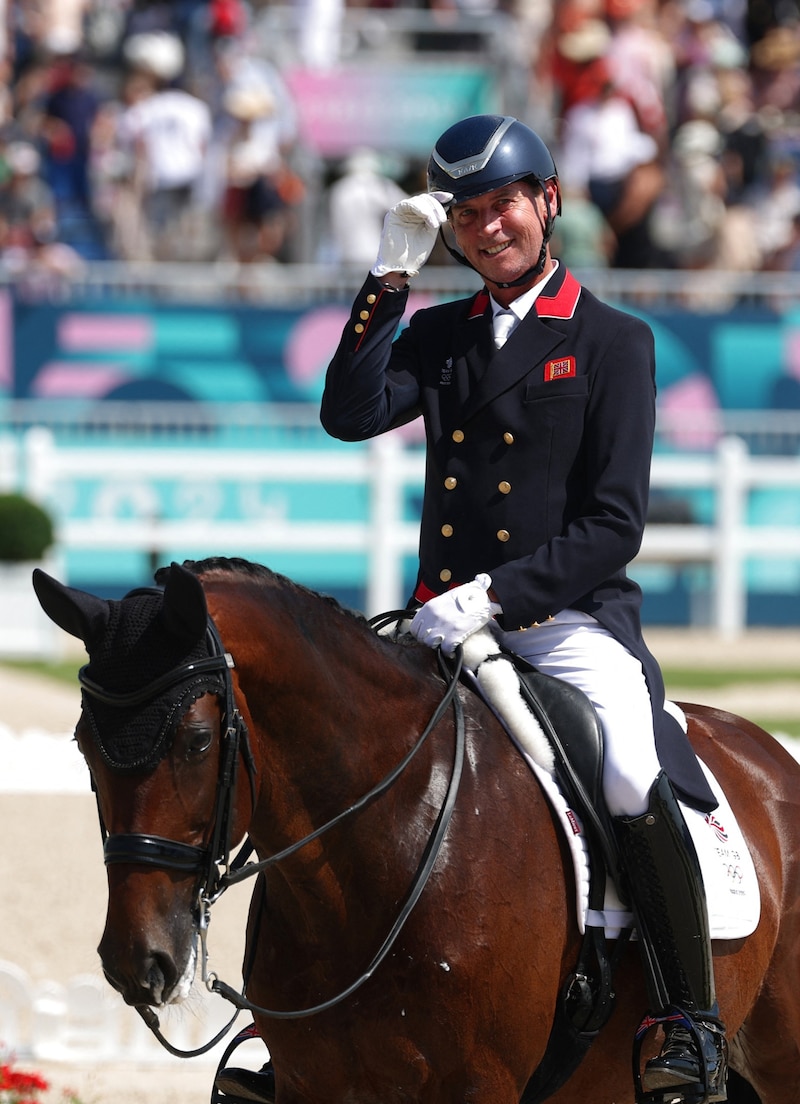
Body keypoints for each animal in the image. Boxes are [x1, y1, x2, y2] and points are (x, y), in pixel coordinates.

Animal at [32, 560, 798, 1104]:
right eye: (83, 746)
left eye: (195, 742)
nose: (137, 961)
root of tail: (768, 752)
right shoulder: (315, 1085)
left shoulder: (478, 1087)